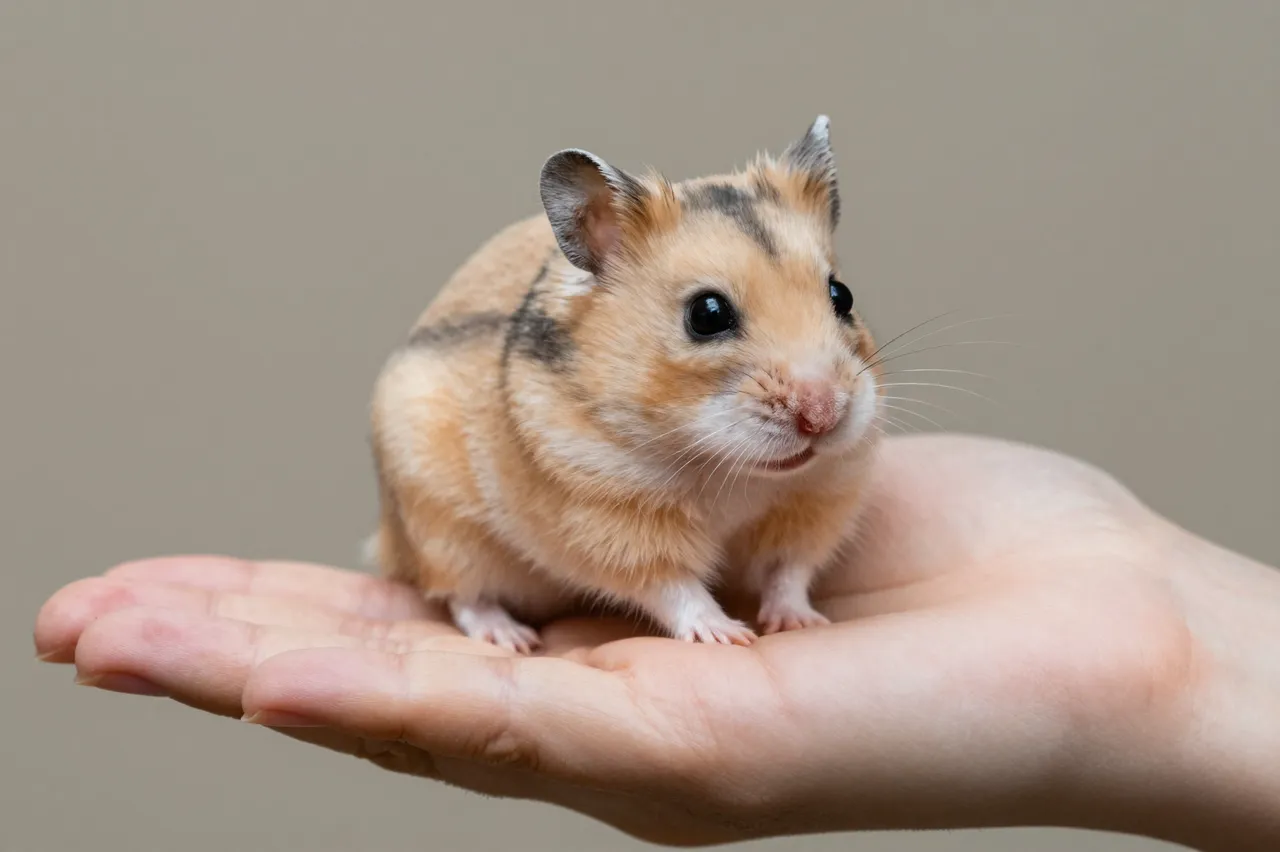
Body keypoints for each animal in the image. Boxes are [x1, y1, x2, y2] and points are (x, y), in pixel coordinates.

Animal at [366, 115, 882, 653]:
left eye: (841, 295)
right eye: (707, 314)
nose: (823, 415)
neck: (733, 471)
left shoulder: (818, 501)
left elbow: (789, 572)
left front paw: (803, 623)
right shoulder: (610, 521)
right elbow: (674, 586)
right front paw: (726, 635)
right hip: (443, 529)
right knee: (463, 594)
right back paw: (510, 636)